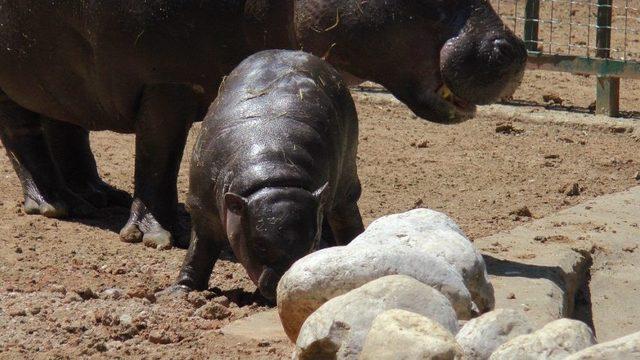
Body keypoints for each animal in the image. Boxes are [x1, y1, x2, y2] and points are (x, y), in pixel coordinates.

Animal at [0, 0, 524, 248]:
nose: (516, 50)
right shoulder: (166, 82)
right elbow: (158, 157)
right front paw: (160, 237)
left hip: (58, 75)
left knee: (67, 127)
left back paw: (96, 197)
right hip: (14, 83)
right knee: (23, 139)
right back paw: (54, 206)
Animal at [175, 49, 362, 300]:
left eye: (314, 240)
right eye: (260, 244)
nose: (282, 285)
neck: (274, 172)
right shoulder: (200, 207)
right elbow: (199, 251)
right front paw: (181, 291)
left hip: (347, 180)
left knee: (347, 216)